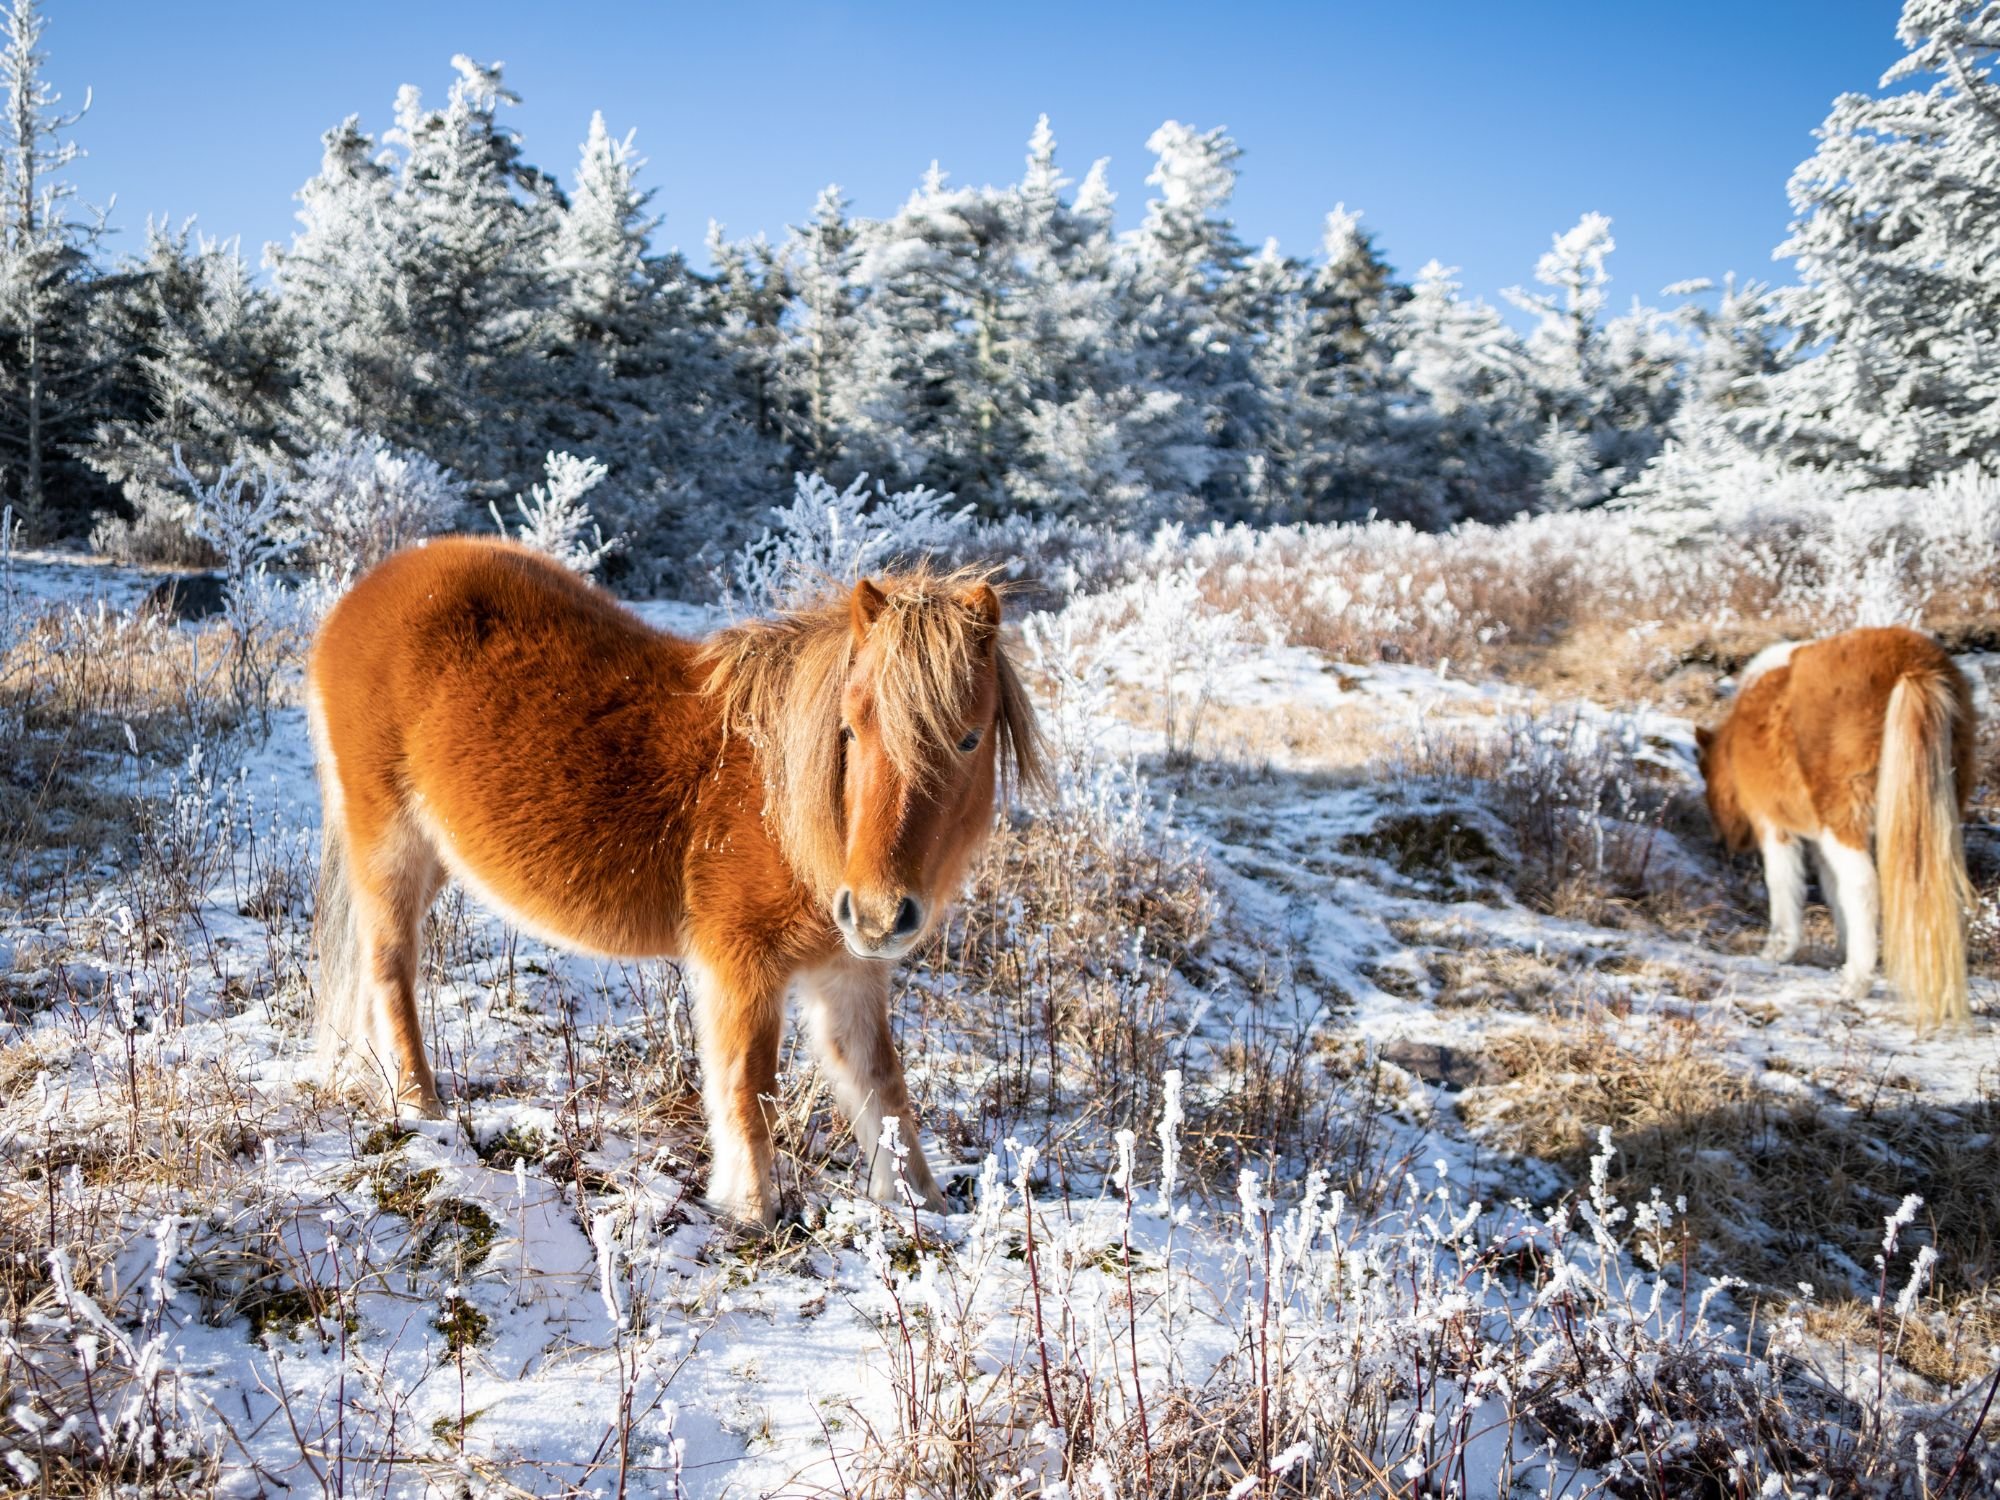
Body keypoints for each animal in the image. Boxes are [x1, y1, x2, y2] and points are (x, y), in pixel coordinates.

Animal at [308, 536, 1048, 1224]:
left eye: (969, 739)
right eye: (850, 729)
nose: (877, 914)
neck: (779, 800)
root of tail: (364, 595)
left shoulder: (849, 973)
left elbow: (883, 1090)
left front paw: (929, 1209)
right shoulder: (741, 966)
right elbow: (748, 1086)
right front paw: (752, 1212)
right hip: (390, 845)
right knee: (392, 967)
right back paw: (421, 1106)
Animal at [1696, 624, 1976, 1032]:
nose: (1723, 840)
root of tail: (1913, 669)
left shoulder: (1775, 827)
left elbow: (1785, 883)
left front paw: (1778, 949)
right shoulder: (1820, 839)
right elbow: (1832, 889)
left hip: (1844, 824)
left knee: (1864, 887)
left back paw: (1856, 982)